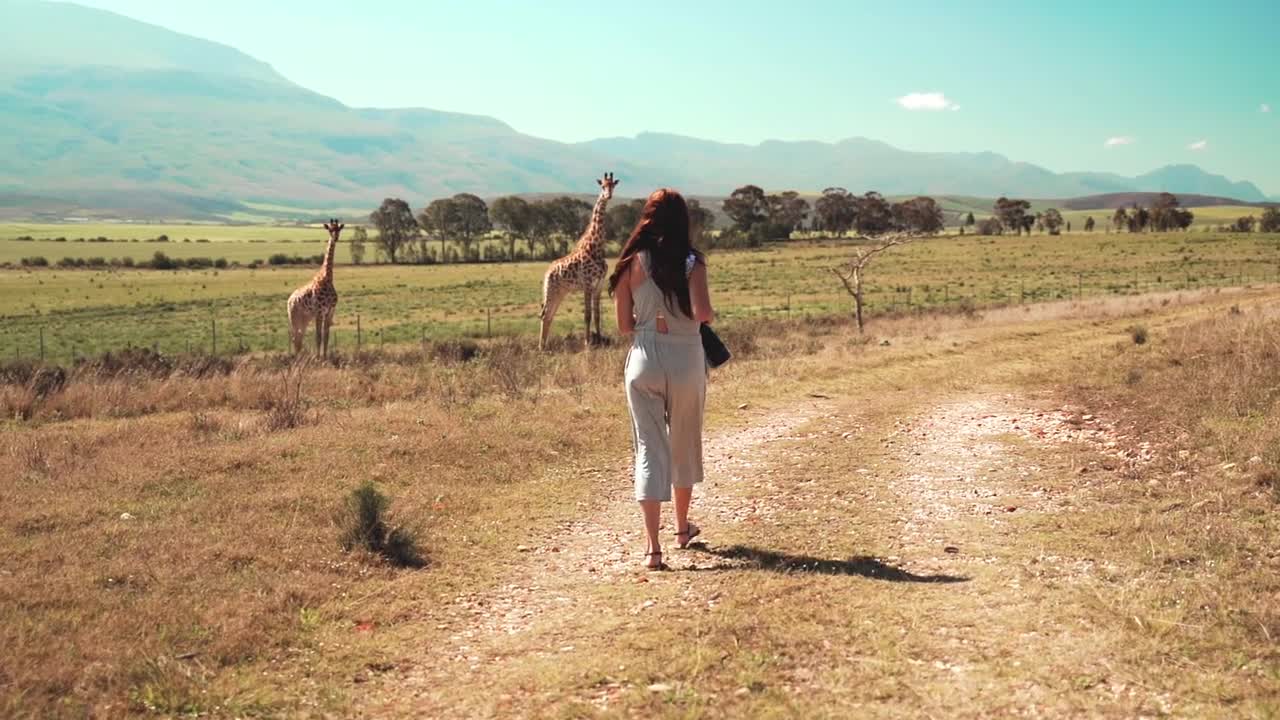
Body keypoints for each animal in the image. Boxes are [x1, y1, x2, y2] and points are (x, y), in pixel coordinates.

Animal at [288, 217, 343, 353]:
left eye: (339, 229)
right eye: (329, 229)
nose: (335, 238)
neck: (327, 278)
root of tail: (289, 299)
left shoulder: (330, 312)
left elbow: (326, 337)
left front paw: (325, 356)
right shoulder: (319, 311)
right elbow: (318, 337)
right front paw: (318, 357)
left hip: (305, 319)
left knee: (299, 339)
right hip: (293, 317)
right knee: (295, 338)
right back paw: (295, 357)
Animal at [540, 167, 619, 348]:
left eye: (613, 185)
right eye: (602, 186)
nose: (608, 195)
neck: (596, 248)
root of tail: (547, 273)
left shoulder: (599, 285)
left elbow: (597, 315)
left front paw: (599, 340)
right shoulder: (588, 285)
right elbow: (587, 315)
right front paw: (587, 343)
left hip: (560, 293)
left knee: (549, 316)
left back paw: (545, 347)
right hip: (551, 290)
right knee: (545, 315)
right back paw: (541, 347)